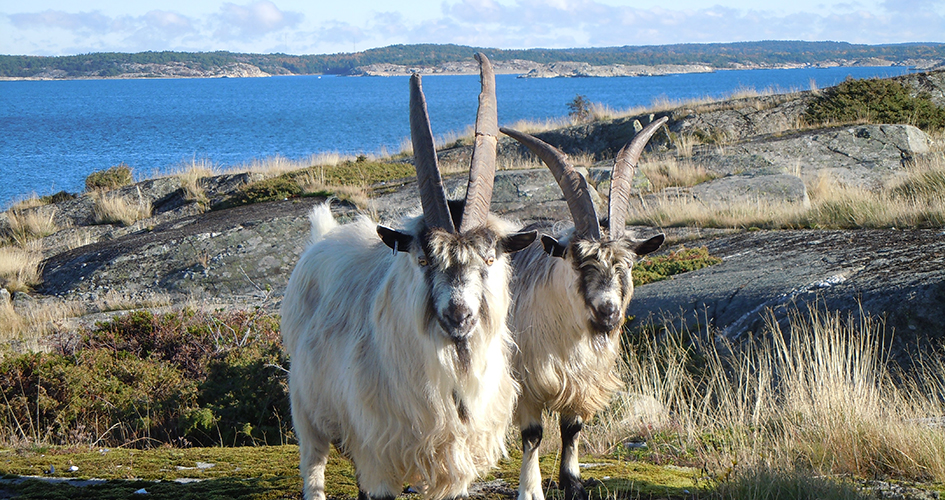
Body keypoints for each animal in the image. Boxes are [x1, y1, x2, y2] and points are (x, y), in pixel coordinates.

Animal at [276, 53, 536, 500]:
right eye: (422, 259)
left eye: (489, 259)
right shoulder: (378, 452)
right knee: (313, 464)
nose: (459, 316)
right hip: (308, 407)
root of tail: (324, 235)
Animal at [498, 116, 668, 500]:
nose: (608, 312)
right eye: (579, 262)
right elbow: (533, 434)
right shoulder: (526, 380)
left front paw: (572, 482)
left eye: (628, 265)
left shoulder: (582, 379)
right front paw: (530, 490)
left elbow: (572, 428)